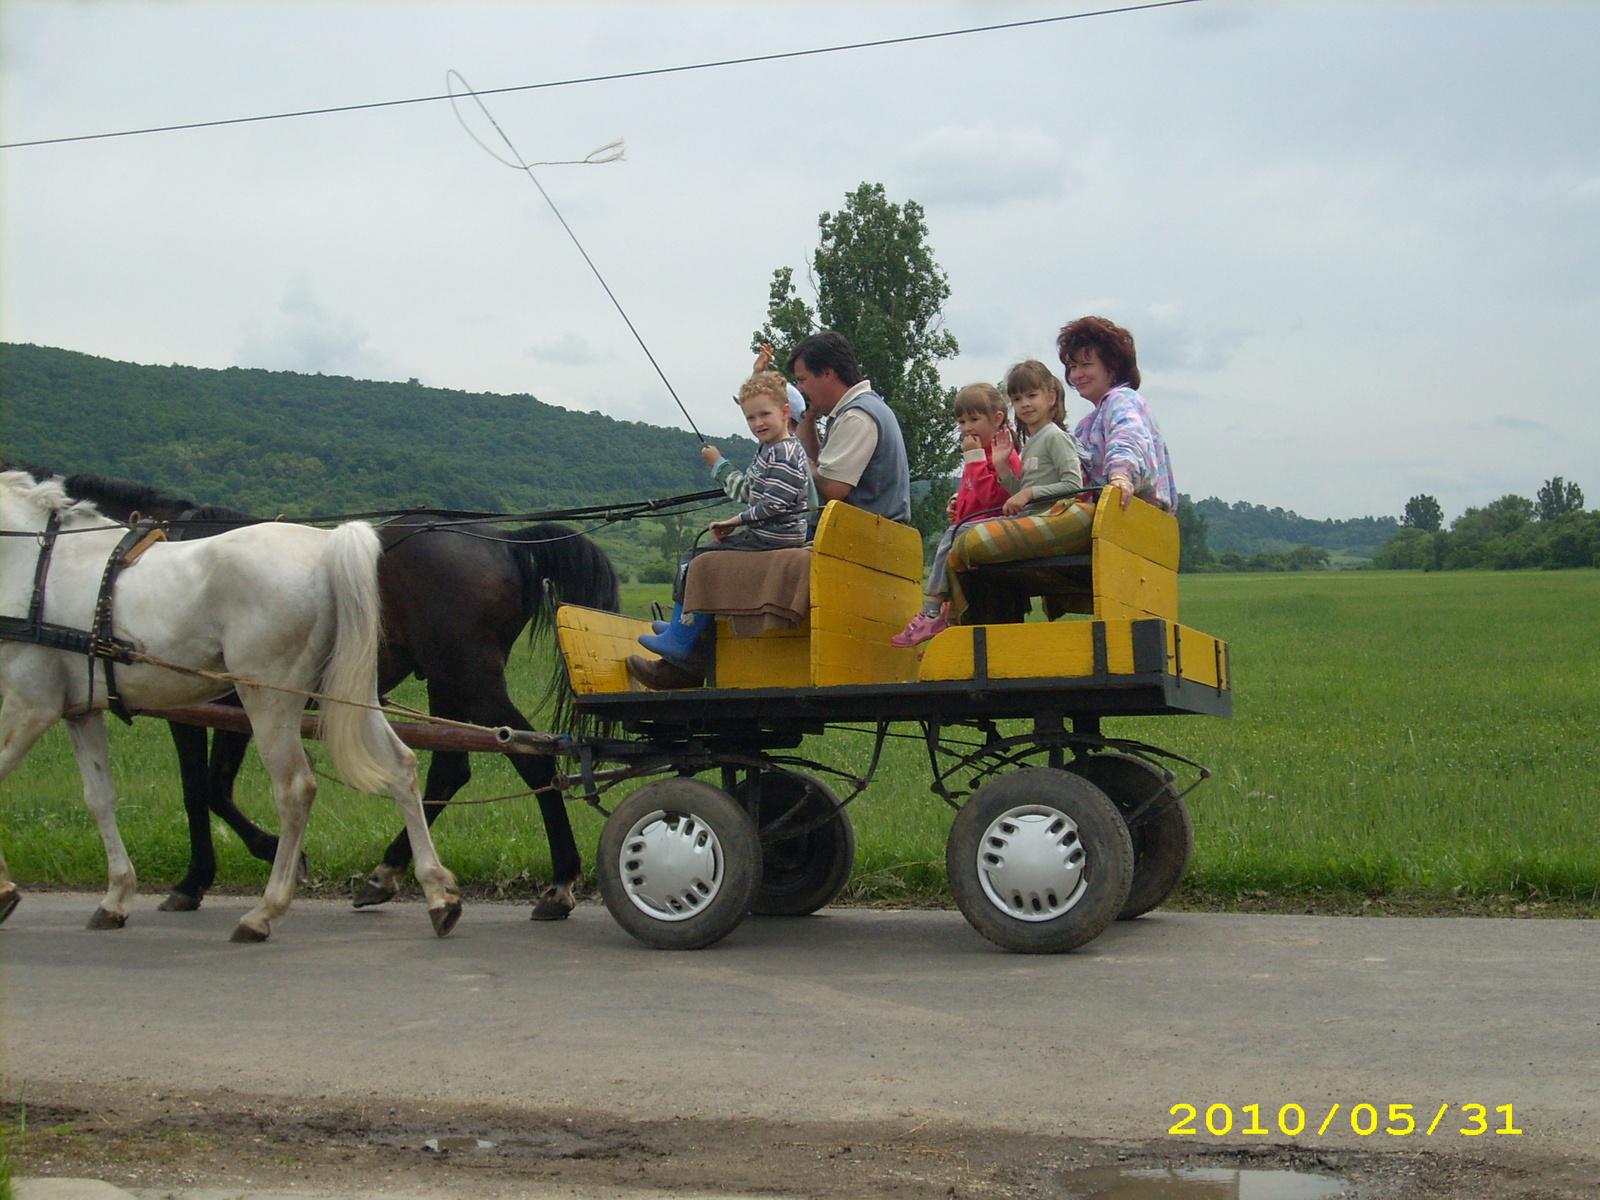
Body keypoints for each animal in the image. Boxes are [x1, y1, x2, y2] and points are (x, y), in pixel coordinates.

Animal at [1, 470, 464, 940]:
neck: (36, 565)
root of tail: (325, 549)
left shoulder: (31, 705)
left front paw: (5, 891)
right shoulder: (80, 711)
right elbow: (100, 797)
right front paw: (115, 898)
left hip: (269, 697)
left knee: (296, 788)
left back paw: (265, 911)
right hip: (352, 692)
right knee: (401, 765)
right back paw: (436, 895)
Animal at [58, 473, 617, 921]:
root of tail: (503, 541)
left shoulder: (210, 706)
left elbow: (204, 789)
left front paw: (218, 872)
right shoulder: (240, 704)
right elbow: (210, 788)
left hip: (468, 679)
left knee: (531, 757)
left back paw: (559, 882)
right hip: (447, 682)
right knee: (451, 768)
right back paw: (387, 874)